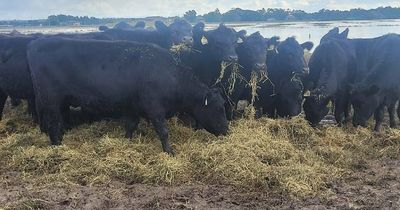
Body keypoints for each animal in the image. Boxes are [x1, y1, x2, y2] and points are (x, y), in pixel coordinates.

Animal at [27, 37, 228, 154]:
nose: (227, 131)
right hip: (50, 99)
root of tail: (36, 43)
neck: (169, 74)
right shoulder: (155, 108)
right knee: (53, 123)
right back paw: (57, 146)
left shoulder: (133, 106)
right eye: (219, 108)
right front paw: (170, 151)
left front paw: (127, 142)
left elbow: (130, 126)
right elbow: (163, 131)